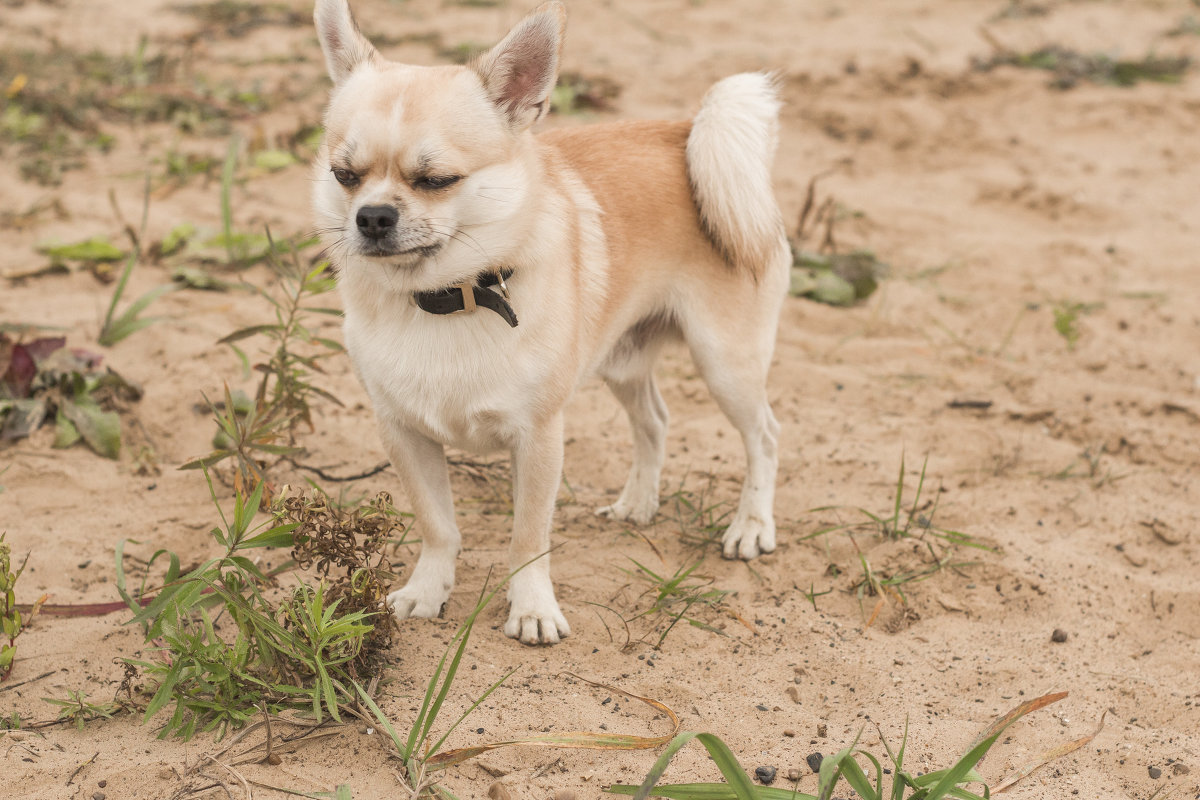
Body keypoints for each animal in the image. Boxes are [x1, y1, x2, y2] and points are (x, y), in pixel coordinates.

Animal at [314, 0, 792, 642]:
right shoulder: (404, 434)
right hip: (623, 361)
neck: (445, 298)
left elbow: (528, 537)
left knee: (763, 436)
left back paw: (752, 526)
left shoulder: (537, 438)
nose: (372, 216)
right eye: (344, 174)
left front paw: (533, 609)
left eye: (437, 181)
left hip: (725, 363)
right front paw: (427, 590)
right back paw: (638, 503)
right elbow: (438, 526)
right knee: (655, 421)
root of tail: (687, 133)